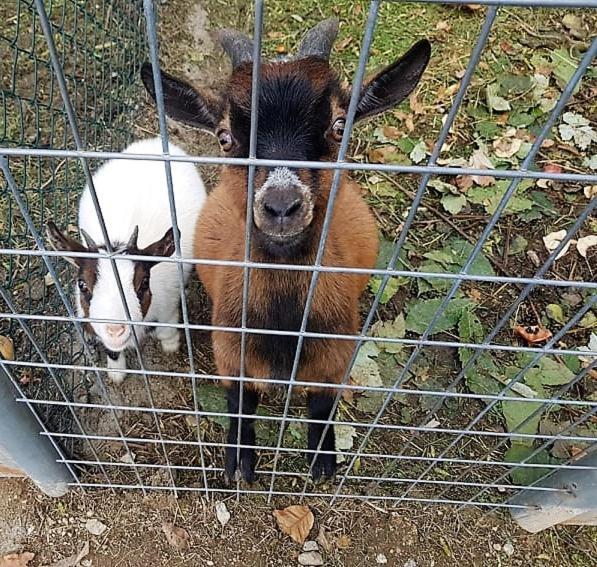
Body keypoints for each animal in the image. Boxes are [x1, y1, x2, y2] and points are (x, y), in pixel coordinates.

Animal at [141, 17, 428, 482]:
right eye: (225, 137)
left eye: (338, 127)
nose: (280, 206)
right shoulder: (230, 354)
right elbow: (239, 403)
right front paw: (238, 463)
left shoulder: (334, 359)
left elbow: (323, 406)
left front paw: (323, 461)